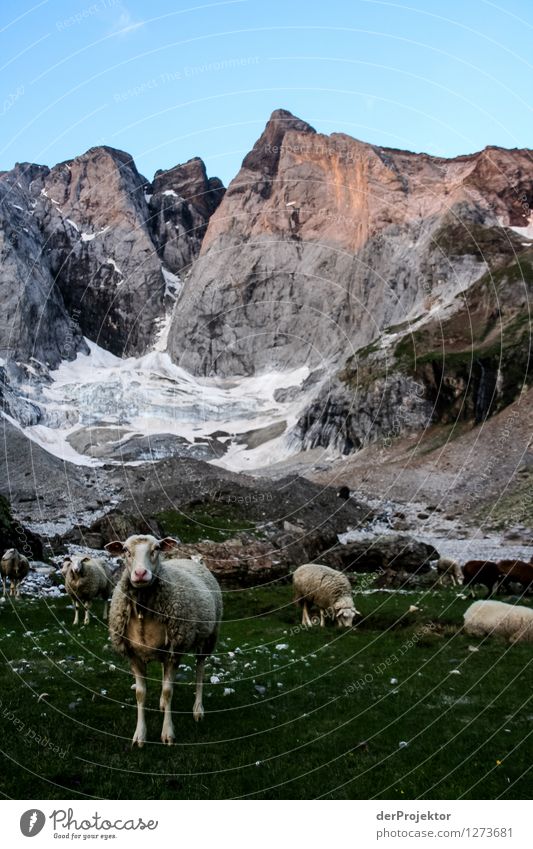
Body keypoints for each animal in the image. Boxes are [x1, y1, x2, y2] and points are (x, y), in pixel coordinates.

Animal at [106, 532, 222, 744]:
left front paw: (167, 733)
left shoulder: (174, 651)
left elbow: (169, 692)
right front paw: (140, 734)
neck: (143, 607)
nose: (140, 574)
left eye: (157, 548)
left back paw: (198, 709)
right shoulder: (134, 655)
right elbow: (140, 694)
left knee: (200, 669)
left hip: (208, 637)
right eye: (125, 550)